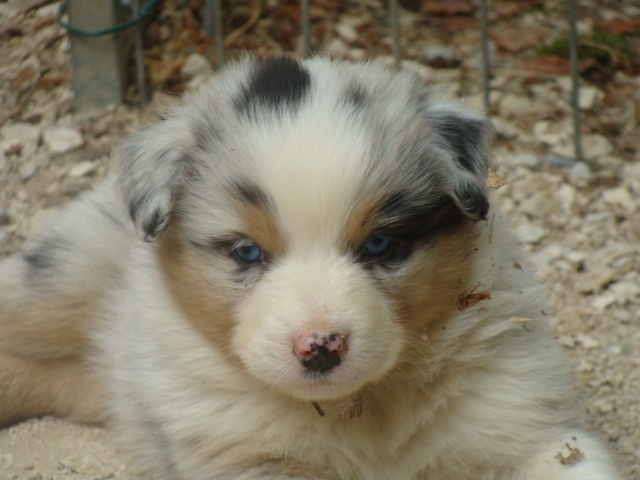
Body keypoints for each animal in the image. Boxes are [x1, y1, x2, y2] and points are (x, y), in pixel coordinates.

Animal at [0, 57, 620, 479]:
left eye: (381, 244)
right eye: (247, 252)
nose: (320, 346)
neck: (364, 409)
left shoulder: (528, 425)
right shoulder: (242, 452)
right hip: (56, 280)